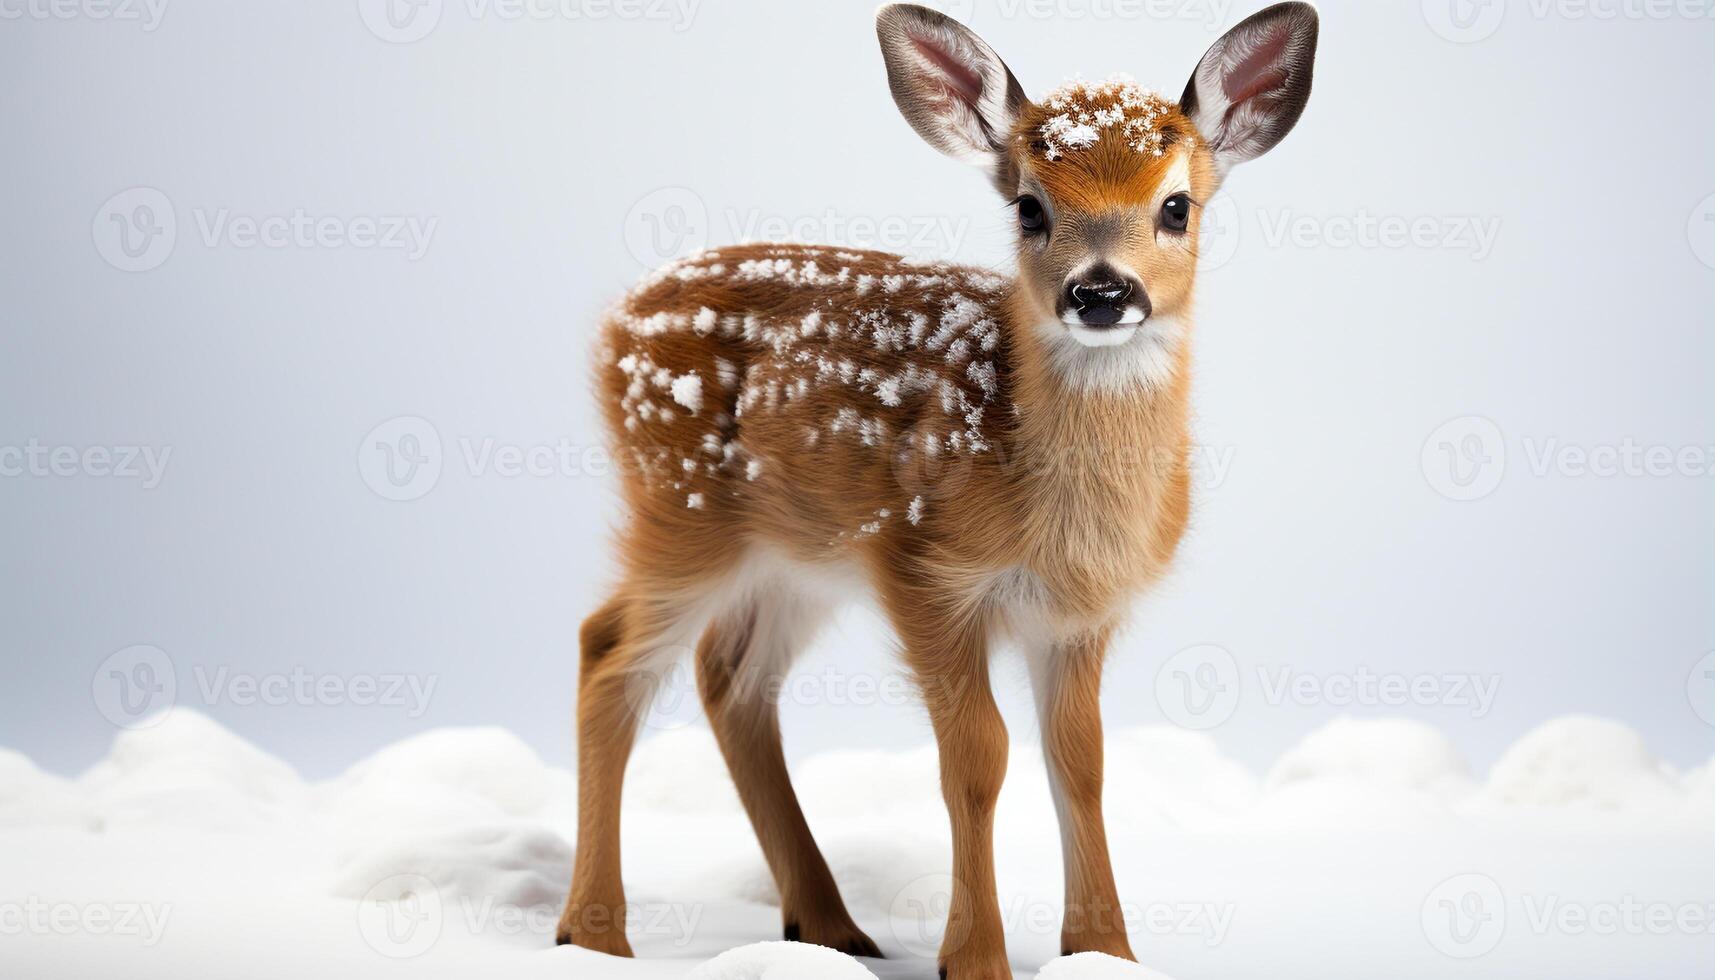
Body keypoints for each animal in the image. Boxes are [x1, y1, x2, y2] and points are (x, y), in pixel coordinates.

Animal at [555, 3, 1317, 974]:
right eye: (1029, 206)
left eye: (1175, 206)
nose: (1101, 292)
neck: (1057, 515)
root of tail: (617, 321)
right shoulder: (923, 569)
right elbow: (978, 757)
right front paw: (976, 957)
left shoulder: (1080, 612)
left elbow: (1080, 759)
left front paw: (1104, 950)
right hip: (679, 510)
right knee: (609, 650)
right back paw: (594, 933)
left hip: (795, 554)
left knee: (728, 676)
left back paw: (827, 922)